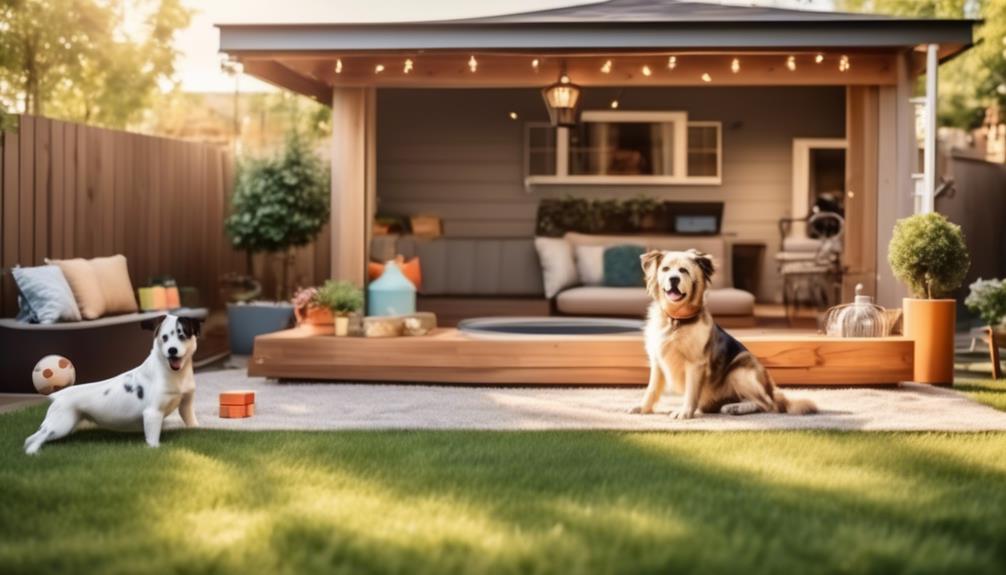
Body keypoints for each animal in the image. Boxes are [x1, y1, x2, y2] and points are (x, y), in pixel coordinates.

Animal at [627, 249, 816, 420]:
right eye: (665, 269)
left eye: (683, 270)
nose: (674, 279)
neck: (675, 320)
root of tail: (771, 388)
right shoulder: (658, 361)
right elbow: (651, 389)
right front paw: (643, 408)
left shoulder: (695, 364)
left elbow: (691, 392)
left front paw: (685, 412)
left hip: (739, 370)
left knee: (768, 405)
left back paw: (735, 408)